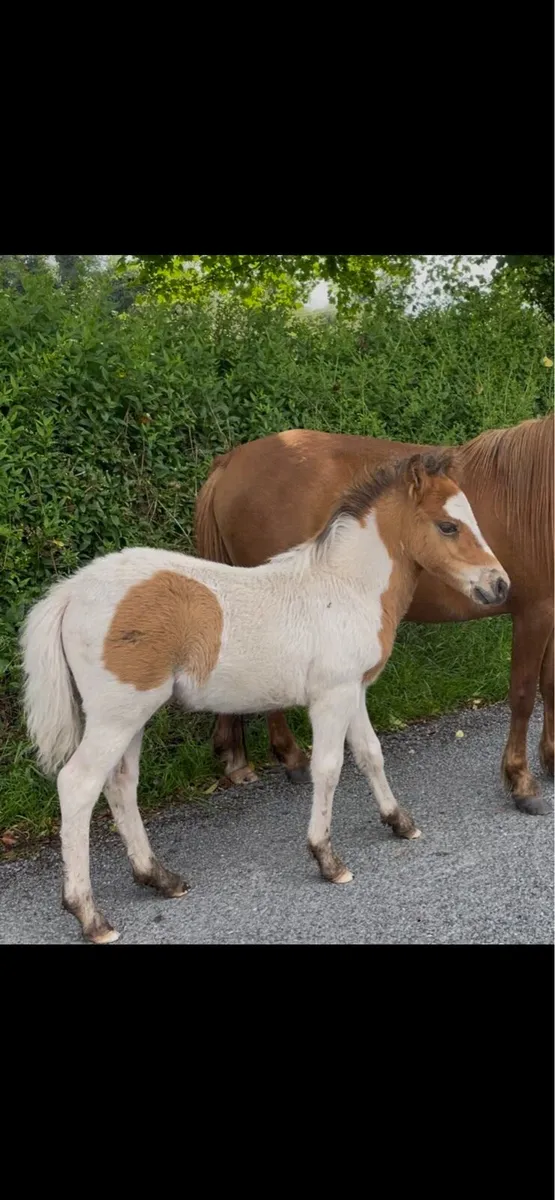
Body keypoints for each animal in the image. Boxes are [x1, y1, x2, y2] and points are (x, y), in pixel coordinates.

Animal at [21, 453, 509, 945]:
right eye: (448, 526)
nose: (499, 585)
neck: (345, 588)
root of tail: (70, 592)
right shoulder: (332, 696)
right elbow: (328, 768)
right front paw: (327, 859)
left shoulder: (352, 691)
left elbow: (370, 754)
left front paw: (399, 822)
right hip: (117, 715)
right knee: (78, 785)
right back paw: (90, 915)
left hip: (129, 717)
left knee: (120, 784)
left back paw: (160, 878)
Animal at [195, 413, 553, 816]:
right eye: (448, 526)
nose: (498, 582)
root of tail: (230, 461)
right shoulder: (534, 613)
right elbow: (524, 694)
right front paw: (521, 781)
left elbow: (549, 685)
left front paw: (551, 759)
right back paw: (291, 758)